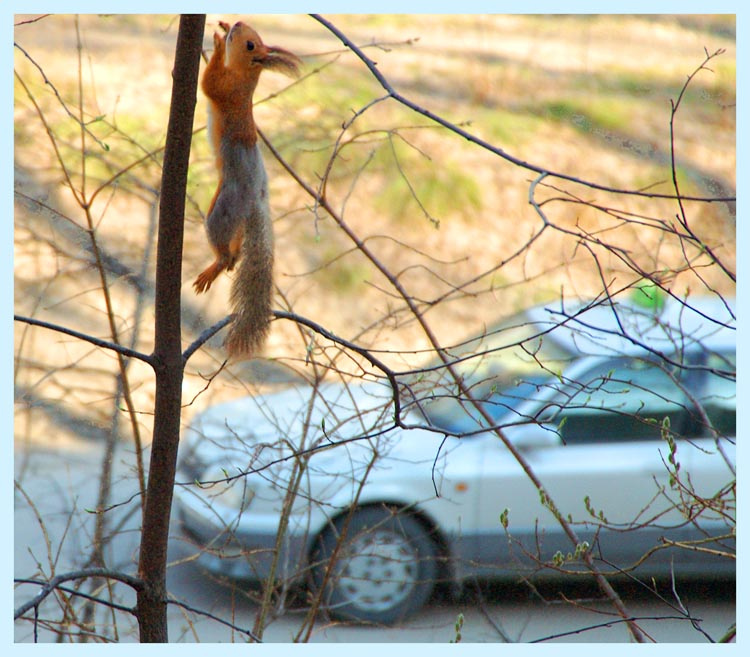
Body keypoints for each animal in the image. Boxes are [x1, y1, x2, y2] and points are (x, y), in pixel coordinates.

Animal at [193, 21, 301, 357]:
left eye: (251, 45)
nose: (237, 24)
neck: (245, 76)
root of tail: (255, 199)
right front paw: (222, 28)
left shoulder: (226, 90)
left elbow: (209, 83)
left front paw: (216, 45)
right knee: (235, 255)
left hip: (223, 211)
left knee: (223, 251)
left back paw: (214, 267)